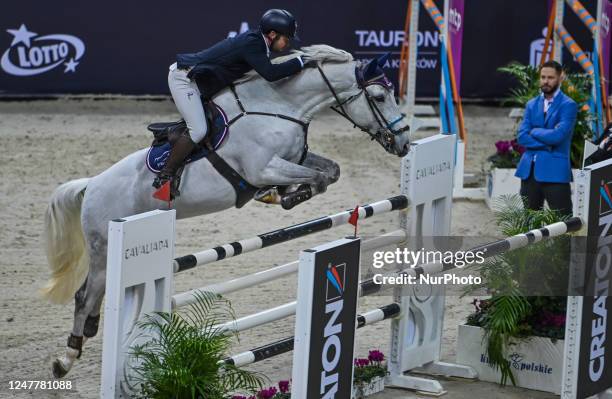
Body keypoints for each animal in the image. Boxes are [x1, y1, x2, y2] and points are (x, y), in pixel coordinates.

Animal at [43, 44, 412, 378]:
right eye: (379, 96)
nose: (404, 144)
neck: (278, 107)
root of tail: (91, 185)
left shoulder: (296, 158)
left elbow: (330, 172)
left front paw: (286, 195)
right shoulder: (263, 168)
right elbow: (315, 177)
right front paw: (280, 195)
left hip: (108, 253)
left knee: (94, 293)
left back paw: (86, 335)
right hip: (104, 246)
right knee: (84, 295)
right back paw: (65, 360)